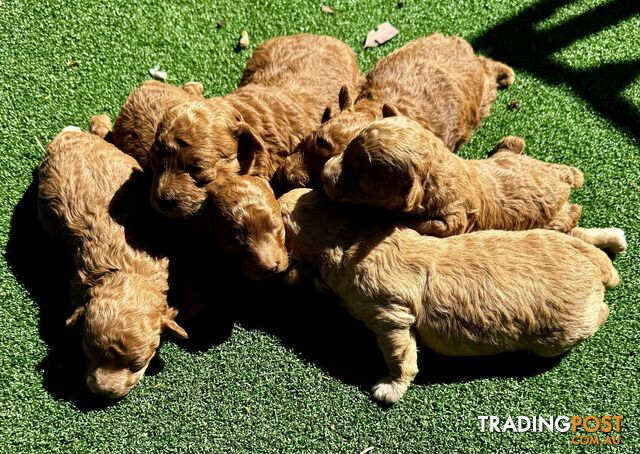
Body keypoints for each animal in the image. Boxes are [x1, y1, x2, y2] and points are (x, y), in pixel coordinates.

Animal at [280, 190, 620, 402]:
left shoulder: (388, 310)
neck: (353, 236)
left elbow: (400, 352)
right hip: (555, 239)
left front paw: (391, 388)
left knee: (597, 315)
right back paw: (613, 238)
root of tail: (599, 270)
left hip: (562, 333)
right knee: (574, 234)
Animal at [322, 117, 588, 236]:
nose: (324, 175)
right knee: (514, 146)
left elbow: (432, 225)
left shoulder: (456, 216)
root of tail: (563, 178)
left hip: (553, 217)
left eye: (357, 181)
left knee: (571, 214)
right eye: (346, 150)